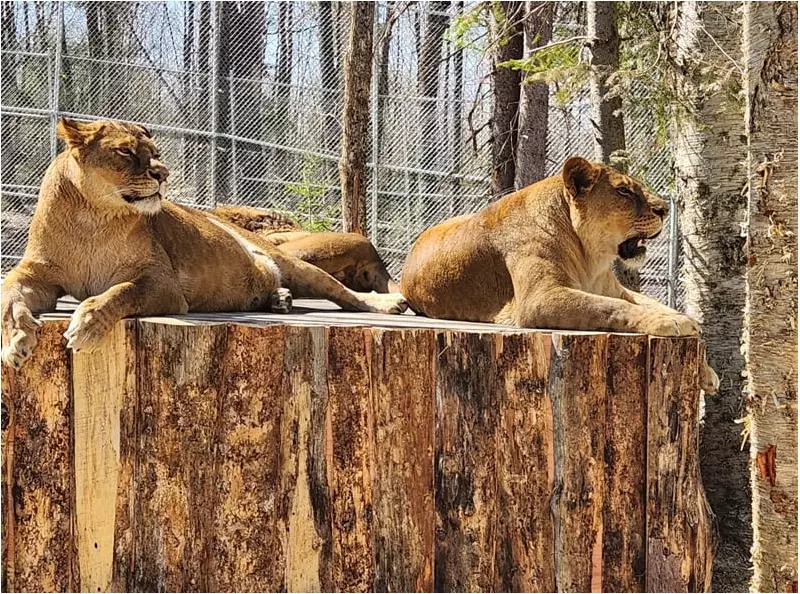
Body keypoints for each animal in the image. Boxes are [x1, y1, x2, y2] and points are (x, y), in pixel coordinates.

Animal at [1, 118, 407, 369]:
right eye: (126, 152)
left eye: (155, 153)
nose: (163, 173)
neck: (92, 219)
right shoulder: (35, 275)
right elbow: (8, 298)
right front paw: (16, 342)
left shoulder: (161, 283)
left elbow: (119, 292)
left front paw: (85, 324)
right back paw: (279, 299)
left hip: (297, 264)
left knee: (345, 293)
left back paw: (387, 304)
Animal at [400, 156, 719, 394]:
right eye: (624, 191)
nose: (664, 210)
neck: (590, 259)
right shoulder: (540, 298)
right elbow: (611, 308)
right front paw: (670, 322)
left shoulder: (615, 289)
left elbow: (657, 305)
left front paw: (705, 367)